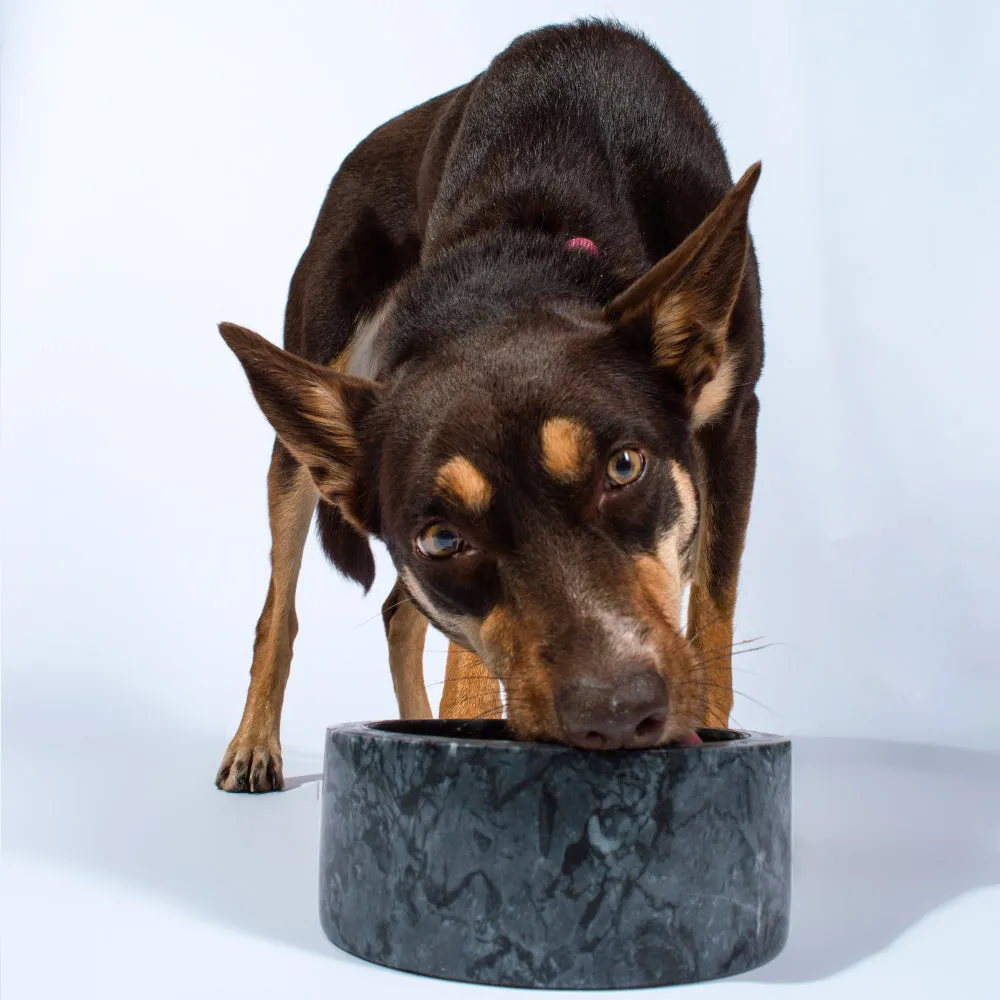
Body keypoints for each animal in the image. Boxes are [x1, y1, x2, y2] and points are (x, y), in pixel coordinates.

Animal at [215, 19, 760, 792]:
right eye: (443, 540)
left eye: (624, 467)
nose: (617, 710)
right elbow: (466, 660)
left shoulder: (734, 422)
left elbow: (713, 613)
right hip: (303, 414)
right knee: (280, 611)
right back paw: (257, 742)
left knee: (396, 610)